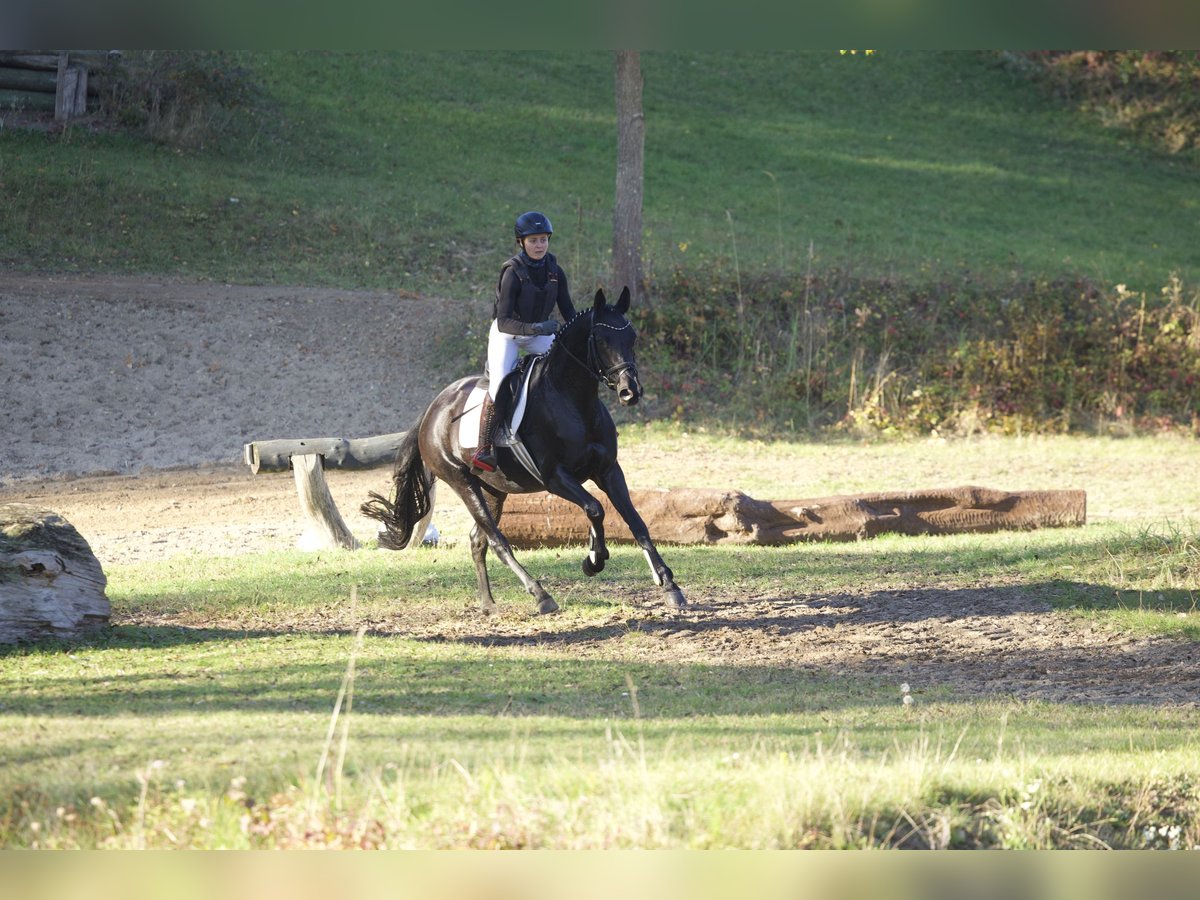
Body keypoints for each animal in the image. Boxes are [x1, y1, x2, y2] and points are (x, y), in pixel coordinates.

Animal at [360, 290, 691, 619]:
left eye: (631, 337)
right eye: (601, 339)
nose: (629, 391)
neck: (573, 400)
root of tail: (433, 409)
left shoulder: (609, 470)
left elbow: (636, 522)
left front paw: (669, 585)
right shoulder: (555, 477)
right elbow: (595, 508)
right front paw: (594, 559)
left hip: (494, 489)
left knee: (477, 540)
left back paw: (489, 604)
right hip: (461, 481)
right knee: (497, 540)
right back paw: (540, 595)